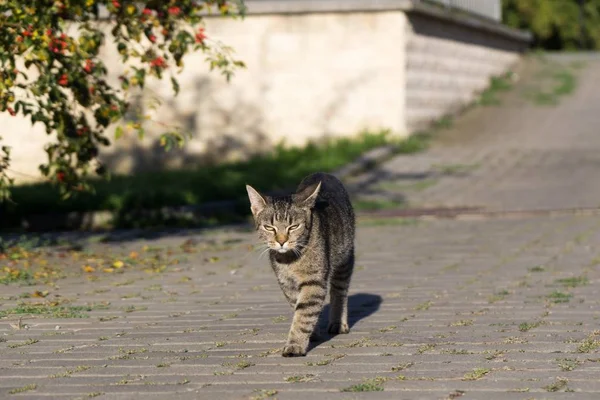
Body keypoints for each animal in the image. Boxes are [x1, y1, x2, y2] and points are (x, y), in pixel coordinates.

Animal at [245, 172, 354, 356]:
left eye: (293, 226)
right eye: (270, 228)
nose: (281, 241)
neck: (289, 261)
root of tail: (322, 173)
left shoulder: (314, 281)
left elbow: (304, 314)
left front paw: (295, 345)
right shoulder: (287, 284)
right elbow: (299, 308)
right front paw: (312, 333)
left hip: (345, 259)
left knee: (339, 291)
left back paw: (338, 323)